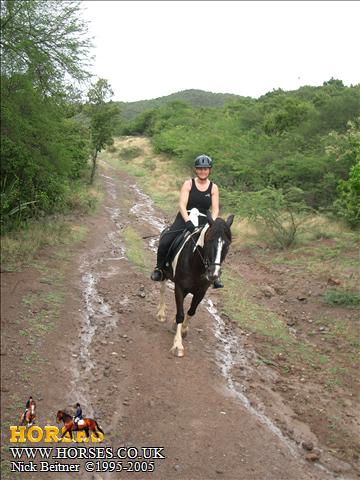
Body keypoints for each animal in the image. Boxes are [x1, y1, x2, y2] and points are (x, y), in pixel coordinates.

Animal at [157, 214, 235, 356]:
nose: (214, 274)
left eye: (227, 245)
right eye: (209, 240)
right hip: (164, 273)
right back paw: (161, 314)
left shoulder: (201, 292)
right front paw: (178, 345)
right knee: (162, 290)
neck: (196, 264)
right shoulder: (179, 288)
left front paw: (183, 330)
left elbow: (191, 312)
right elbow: (180, 314)